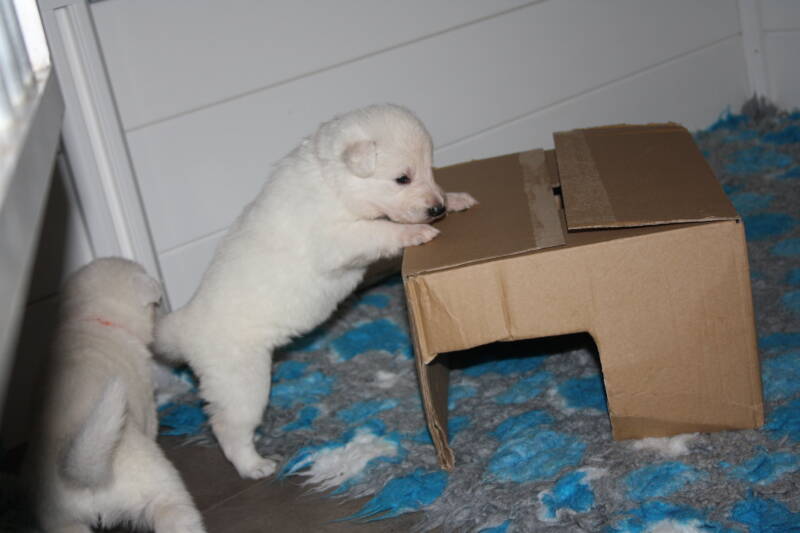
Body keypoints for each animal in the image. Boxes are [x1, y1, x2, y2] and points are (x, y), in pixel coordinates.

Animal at [24, 258, 205, 533]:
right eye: (158, 302)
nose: (165, 308)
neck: (91, 318)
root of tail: (82, 477)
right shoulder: (147, 403)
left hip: (62, 521)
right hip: (159, 487)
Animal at [153, 104, 477, 479]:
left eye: (429, 168)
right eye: (402, 178)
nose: (437, 208)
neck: (332, 182)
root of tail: (184, 325)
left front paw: (456, 198)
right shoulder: (335, 239)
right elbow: (379, 230)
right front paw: (416, 232)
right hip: (240, 380)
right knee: (228, 427)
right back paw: (254, 465)